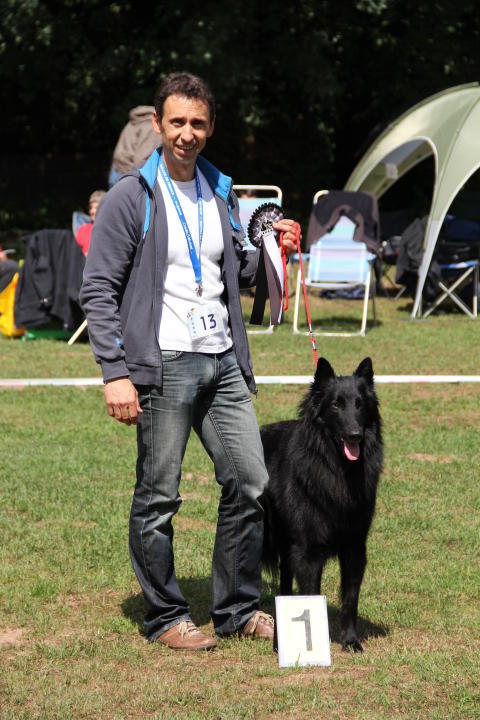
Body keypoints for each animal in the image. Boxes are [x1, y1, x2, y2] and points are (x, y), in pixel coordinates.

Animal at [260, 356, 384, 652]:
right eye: (336, 405)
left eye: (360, 404)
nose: (355, 435)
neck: (338, 469)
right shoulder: (308, 552)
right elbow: (310, 594)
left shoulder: (354, 547)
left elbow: (350, 599)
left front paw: (350, 641)